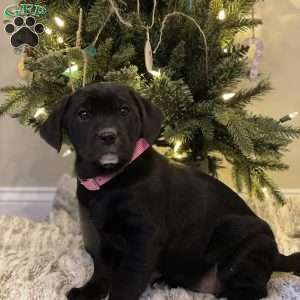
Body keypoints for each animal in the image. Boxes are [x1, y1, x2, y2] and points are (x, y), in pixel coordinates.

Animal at [39, 83, 300, 300]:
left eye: (124, 111)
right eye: (83, 114)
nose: (108, 135)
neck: (112, 179)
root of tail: (278, 257)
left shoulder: (145, 236)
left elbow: (128, 279)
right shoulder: (100, 233)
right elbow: (101, 269)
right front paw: (89, 291)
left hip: (246, 242)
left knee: (254, 288)